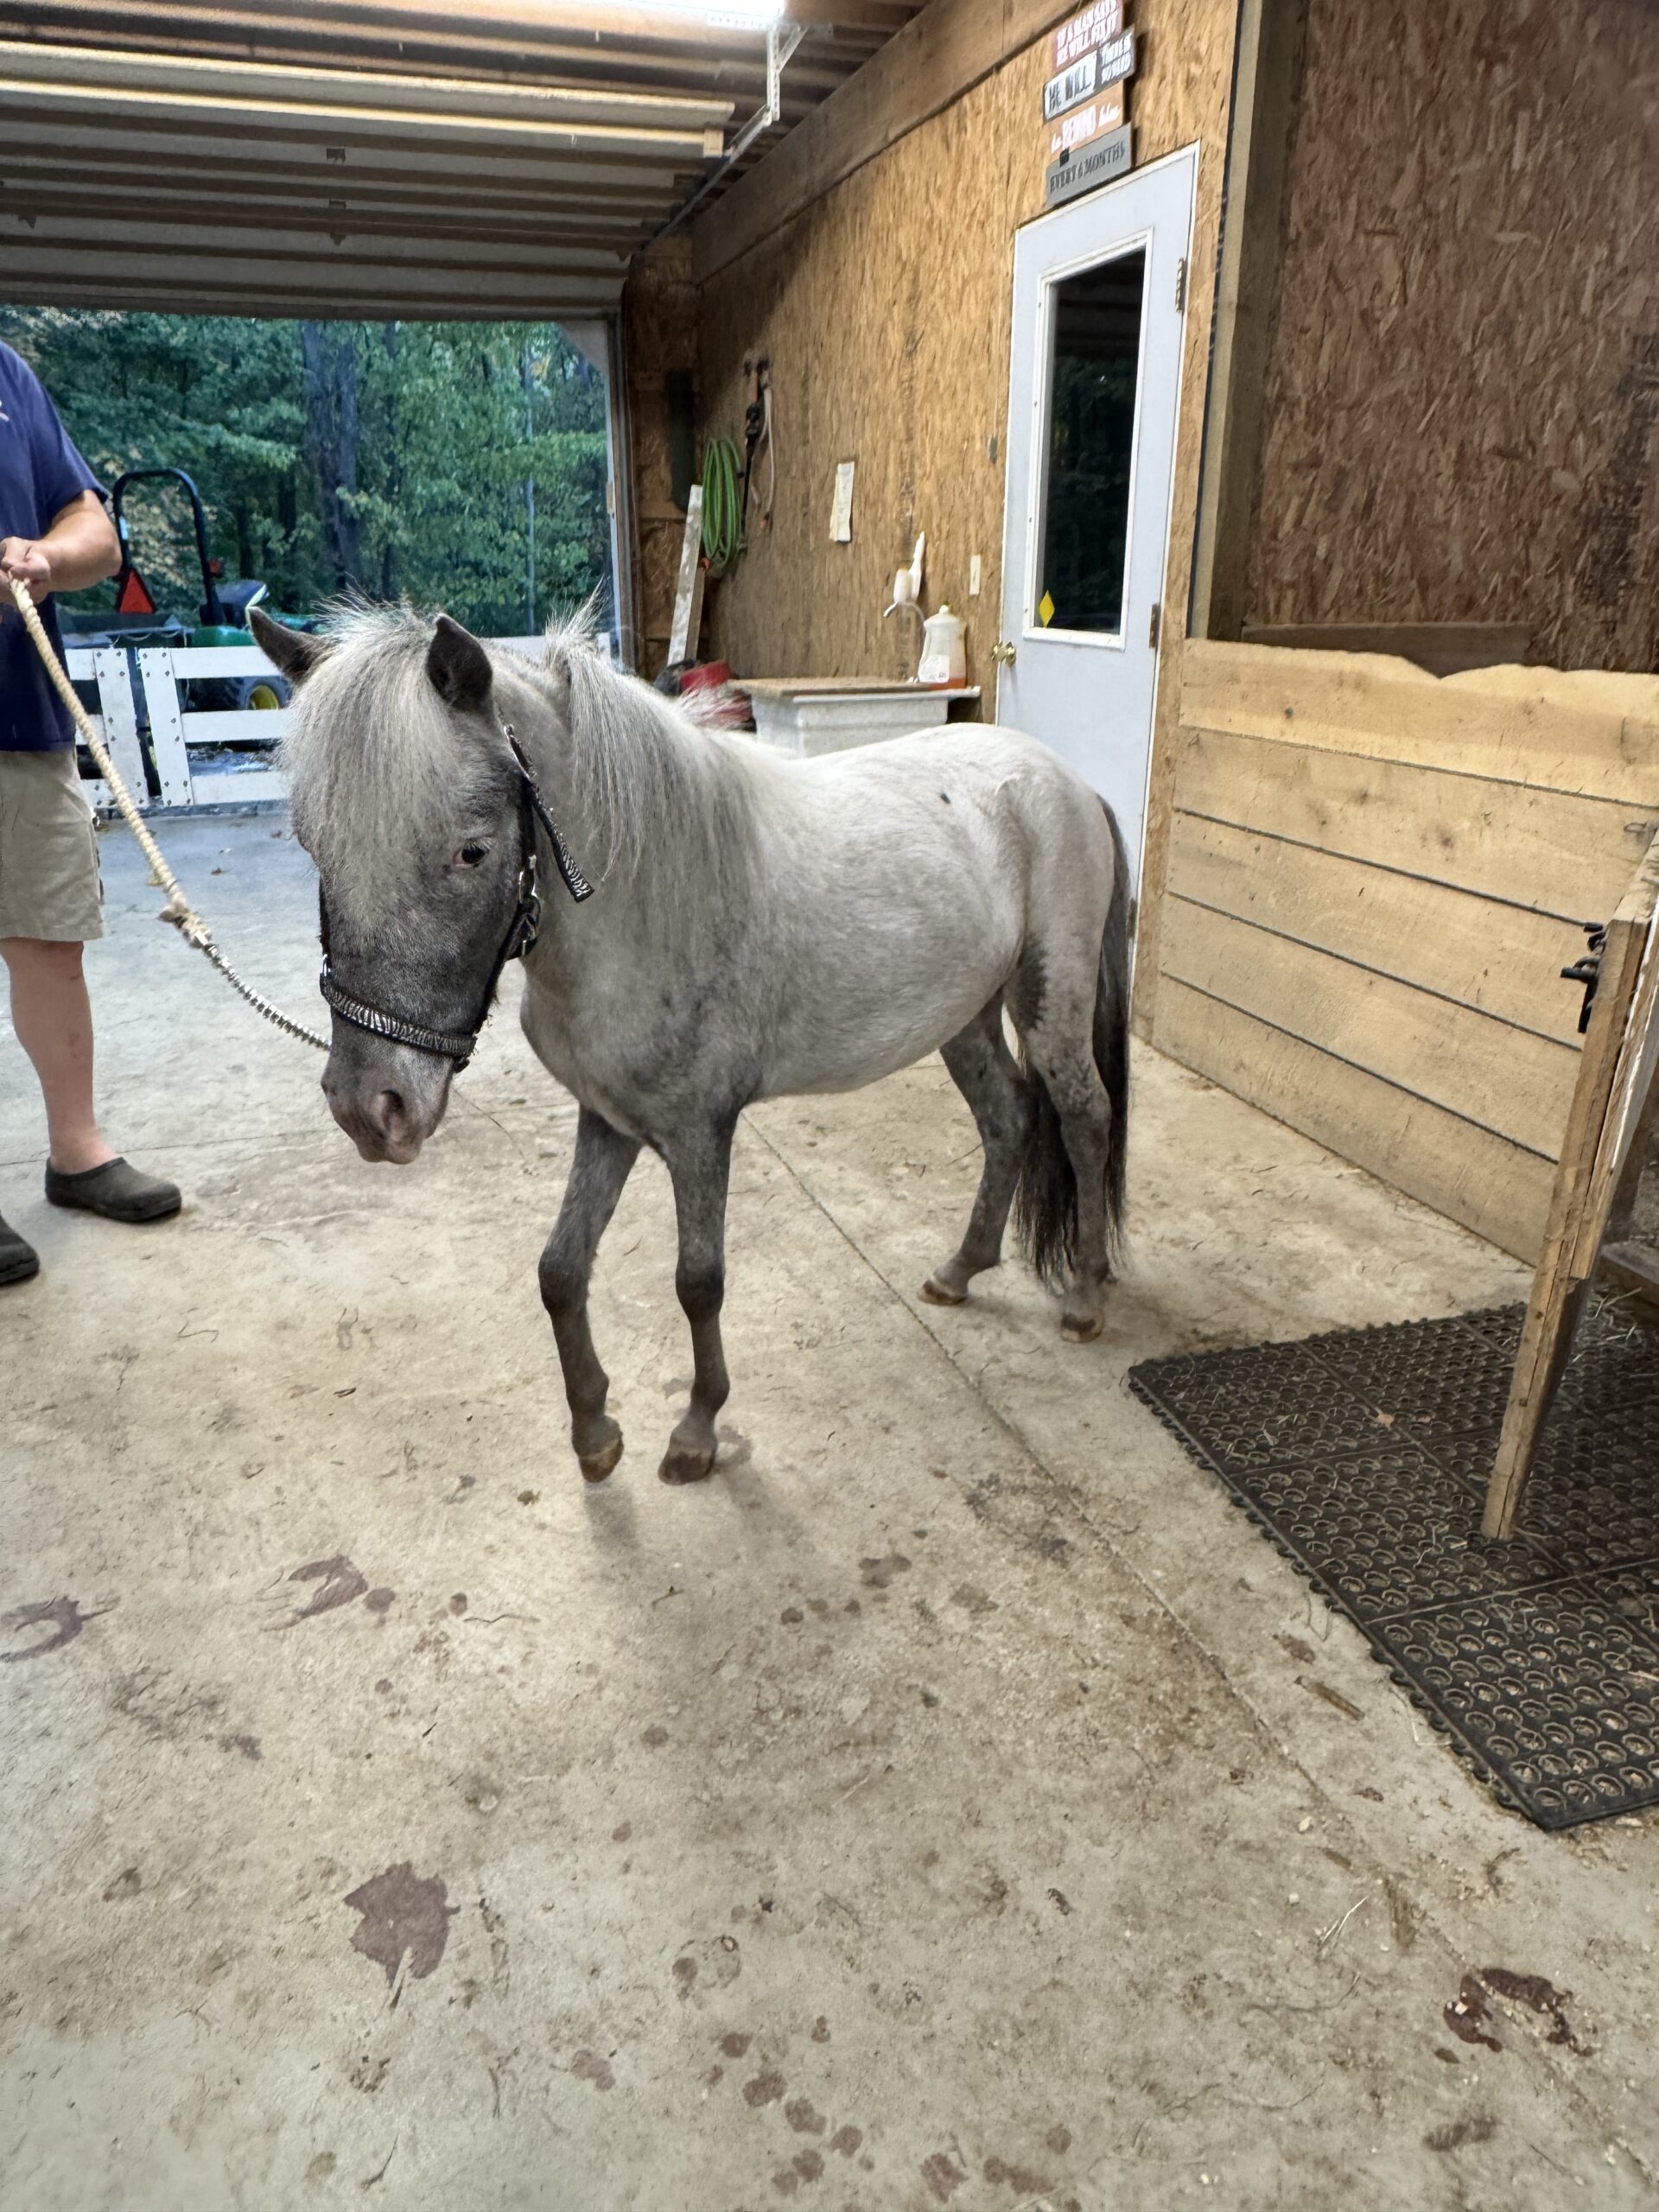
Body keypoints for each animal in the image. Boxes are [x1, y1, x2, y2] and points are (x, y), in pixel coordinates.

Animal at [252, 606, 1131, 1489]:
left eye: (472, 849)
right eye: (312, 846)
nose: (372, 1109)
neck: (649, 903)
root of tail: (1070, 783)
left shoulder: (702, 1131)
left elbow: (698, 1283)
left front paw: (697, 1432)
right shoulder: (606, 1120)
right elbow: (560, 1271)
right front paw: (595, 1433)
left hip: (1049, 1000)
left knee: (1085, 1118)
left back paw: (1088, 1299)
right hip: (967, 1018)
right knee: (1008, 1116)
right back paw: (962, 1269)